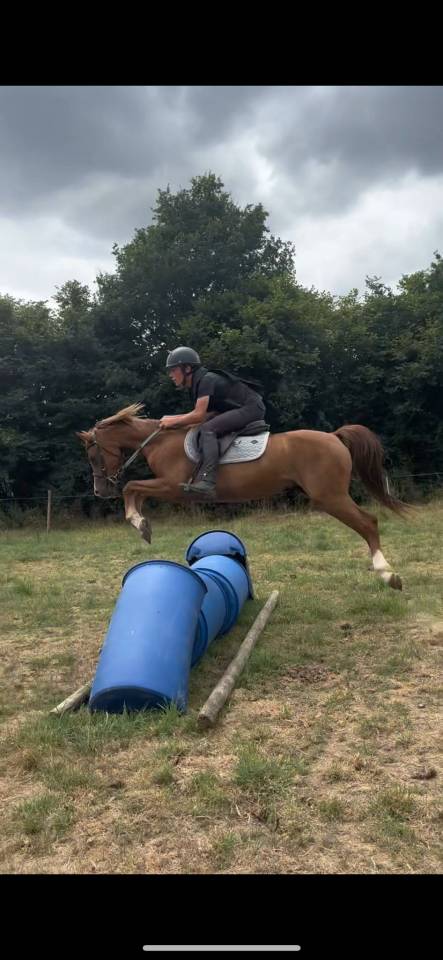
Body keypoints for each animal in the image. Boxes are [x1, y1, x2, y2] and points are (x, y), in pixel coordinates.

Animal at [77, 403, 405, 590]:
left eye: (93, 456)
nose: (100, 491)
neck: (159, 441)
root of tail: (334, 437)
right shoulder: (164, 486)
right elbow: (134, 492)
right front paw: (143, 525)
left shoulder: (172, 486)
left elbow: (131, 487)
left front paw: (138, 522)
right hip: (331, 496)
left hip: (330, 497)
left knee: (368, 523)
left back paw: (387, 575)